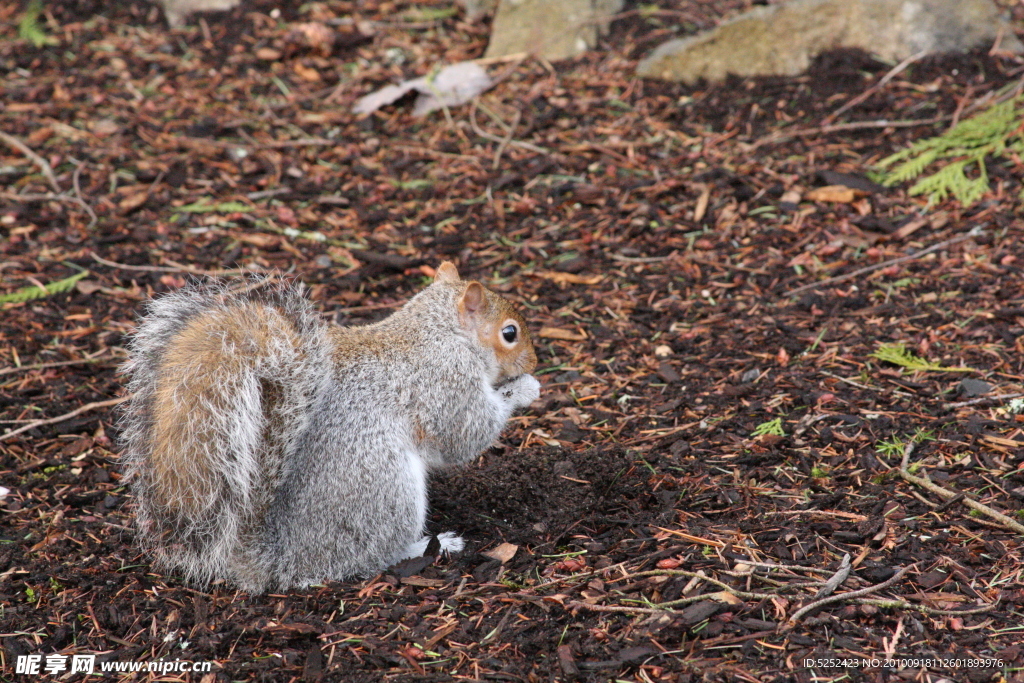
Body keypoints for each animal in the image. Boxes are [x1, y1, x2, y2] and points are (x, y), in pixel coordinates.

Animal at [119, 264, 540, 593]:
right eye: (510, 333)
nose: (535, 360)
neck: (437, 330)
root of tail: (277, 559)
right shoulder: (447, 381)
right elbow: (466, 434)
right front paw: (525, 389)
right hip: (386, 488)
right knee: (368, 557)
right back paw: (431, 546)